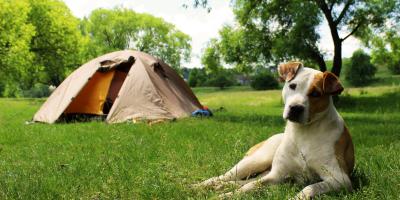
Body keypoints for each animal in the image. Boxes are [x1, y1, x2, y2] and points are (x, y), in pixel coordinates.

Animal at [195, 61, 354, 199]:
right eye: (292, 86)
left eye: (316, 94)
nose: (295, 108)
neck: (303, 132)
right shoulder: (276, 175)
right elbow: (250, 186)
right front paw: (227, 196)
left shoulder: (339, 178)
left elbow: (310, 187)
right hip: (256, 161)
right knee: (223, 177)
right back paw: (199, 186)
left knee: (241, 181)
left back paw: (222, 187)